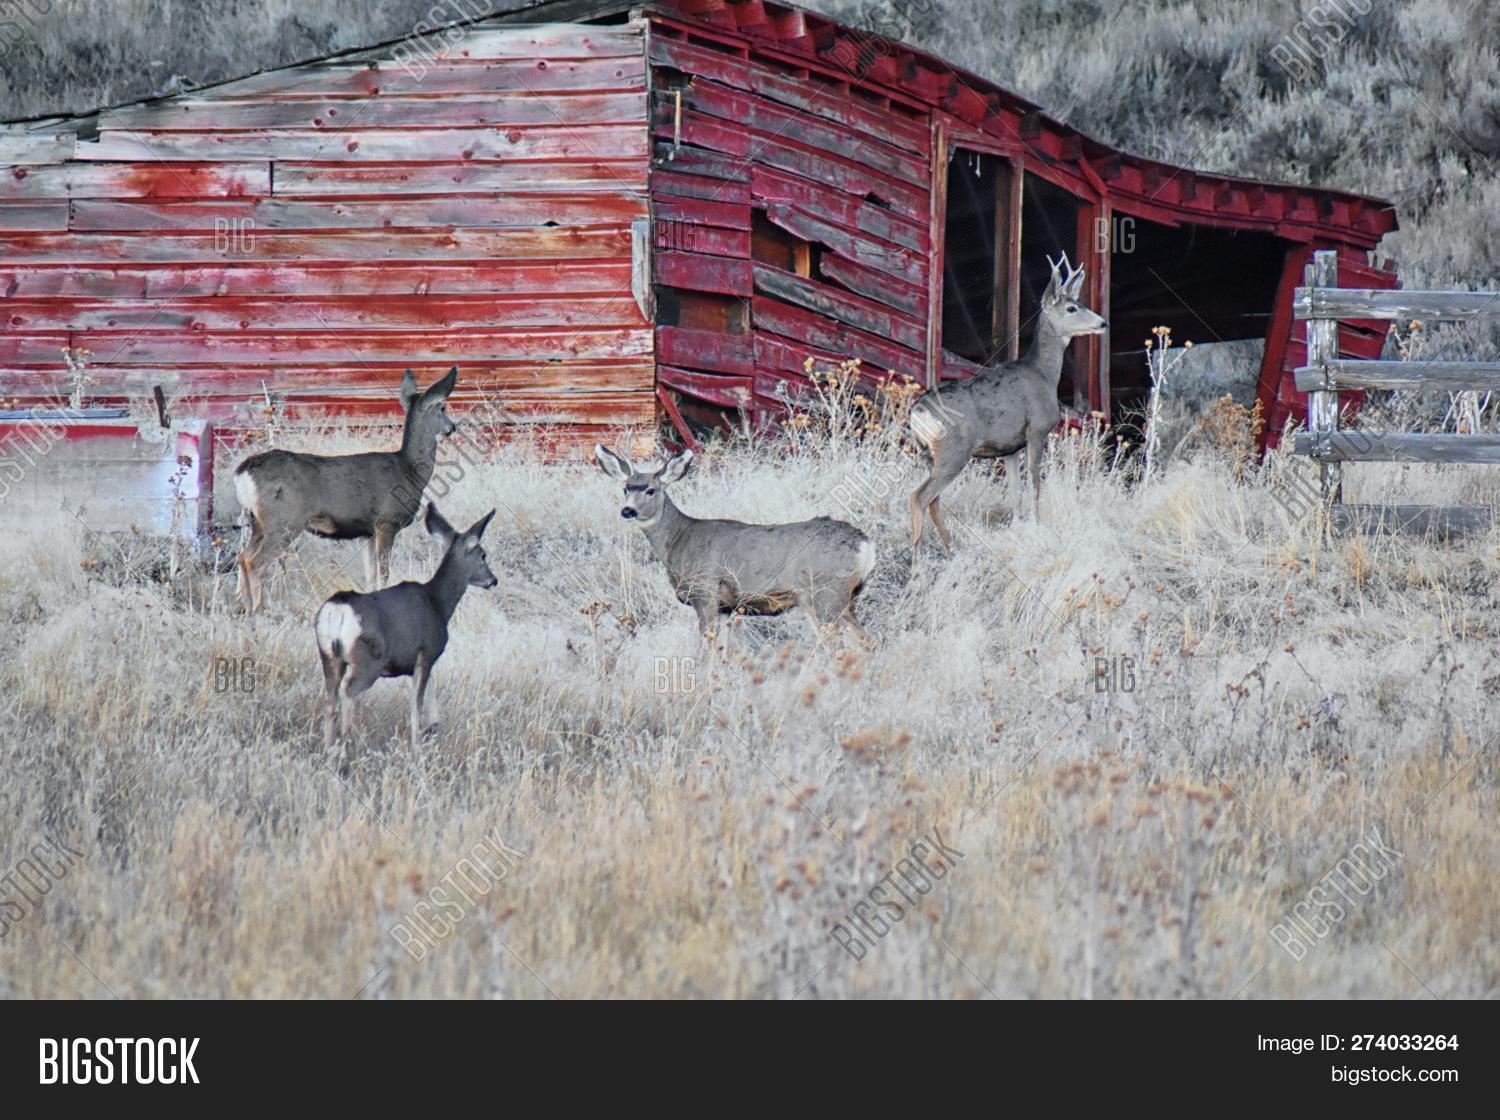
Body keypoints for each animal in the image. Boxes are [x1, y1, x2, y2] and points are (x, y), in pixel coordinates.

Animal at [234, 367, 459, 612]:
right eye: (443, 407)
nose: (453, 427)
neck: (409, 470)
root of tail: (243, 473)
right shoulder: (386, 522)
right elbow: (384, 574)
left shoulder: (367, 532)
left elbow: (370, 576)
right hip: (283, 521)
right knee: (254, 562)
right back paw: (257, 609)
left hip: (257, 523)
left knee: (242, 557)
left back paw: (244, 608)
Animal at [314, 502, 496, 751]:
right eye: (483, 555)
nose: (493, 580)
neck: (438, 603)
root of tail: (337, 611)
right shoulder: (427, 653)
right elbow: (416, 705)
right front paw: (417, 744)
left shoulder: (421, 662)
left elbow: (430, 698)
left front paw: (434, 729)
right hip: (367, 661)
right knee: (347, 692)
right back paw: (348, 747)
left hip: (329, 657)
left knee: (329, 701)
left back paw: (329, 749)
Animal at [595, 445, 877, 649]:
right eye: (625, 488)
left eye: (651, 490)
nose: (628, 510)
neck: (678, 540)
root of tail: (866, 544)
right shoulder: (725, 608)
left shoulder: (705, 592)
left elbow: (705, 650)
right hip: (846, 599)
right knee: (866, 643)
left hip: (825, 594)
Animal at [908, 254, 1106, 564]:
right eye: (1072, 307)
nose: (1103, 323)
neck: (1043, 374)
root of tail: (918, 410)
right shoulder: (1037, 430)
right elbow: (1035, 484)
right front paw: (1037, 526)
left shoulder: (1009, 448)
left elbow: (1015, 493)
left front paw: (1019, 526)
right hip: (953, 450)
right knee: (920, 496)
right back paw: (917, 559)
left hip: (929, 454)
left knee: (932, 499)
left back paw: (950, 548)